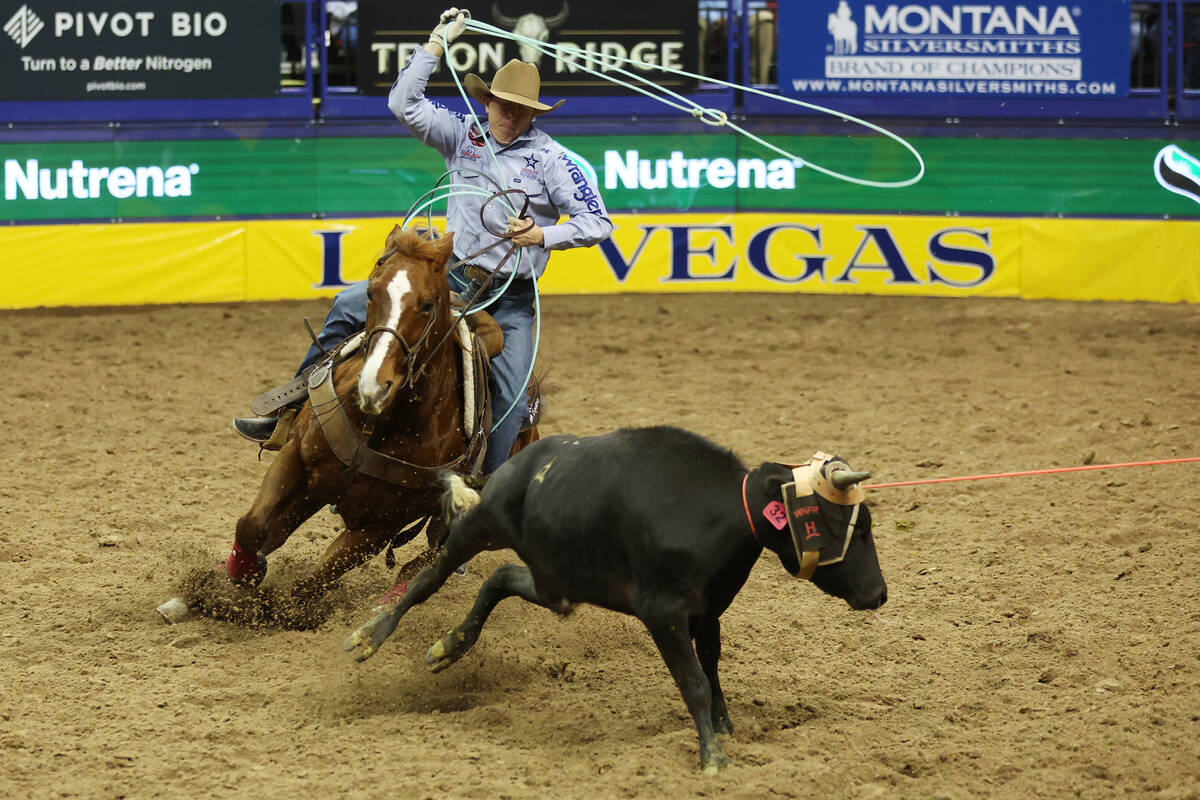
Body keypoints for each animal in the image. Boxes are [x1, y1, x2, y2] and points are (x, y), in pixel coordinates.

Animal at [222, 225, 540, 599]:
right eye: (371, 292)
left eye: (427, 305)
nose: (374, 386)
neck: (382, 425)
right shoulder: (296, 457)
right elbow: (253, 526)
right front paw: (238, 576)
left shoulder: (380, 527)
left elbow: (309, 585)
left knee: (433, 555)